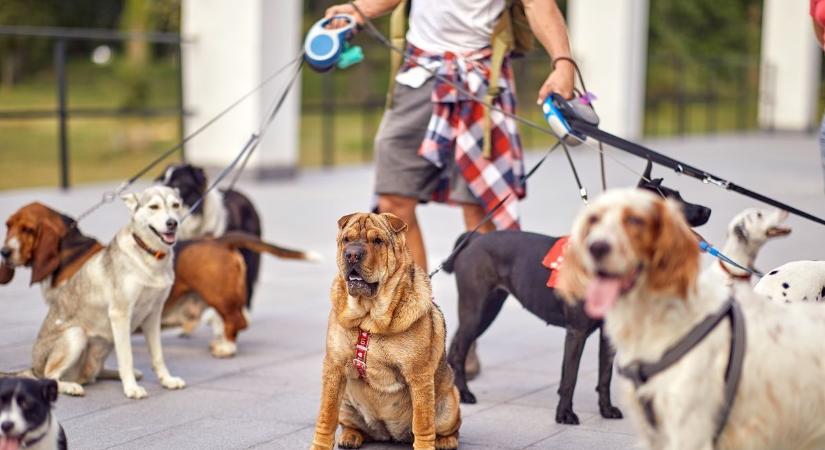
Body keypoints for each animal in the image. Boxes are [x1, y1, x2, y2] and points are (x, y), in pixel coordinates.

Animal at [1, 202, 318, 356]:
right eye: (8, 225)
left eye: (28, 229)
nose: (4, 252)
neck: (71, 251)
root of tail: (220, 240)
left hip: (220, 295)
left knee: (237, 321)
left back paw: (224, 347)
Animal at [310, 212, 460, 450]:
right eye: (346, 239)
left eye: (378, 241)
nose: (352, 254)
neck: (368, 319)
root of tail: (389, 434)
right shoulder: (334, 368)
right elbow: (326, 416)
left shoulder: (418, 376)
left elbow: (423, 422)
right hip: (346, 403)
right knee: (352, 425)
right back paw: (350, 436)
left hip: (450, 404)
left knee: (450, 428)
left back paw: (446, 441)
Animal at [440, 163, 712, 426]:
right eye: (674, 202)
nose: (708, 210)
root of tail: (474, 239)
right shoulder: (576, 332)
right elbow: (569, 377)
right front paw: (564, 415)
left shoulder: (607, 335)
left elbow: (605, 375)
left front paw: (606, 410)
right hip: (476, 310)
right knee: (458, 350)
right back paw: (464, 394)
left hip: (489, 309)